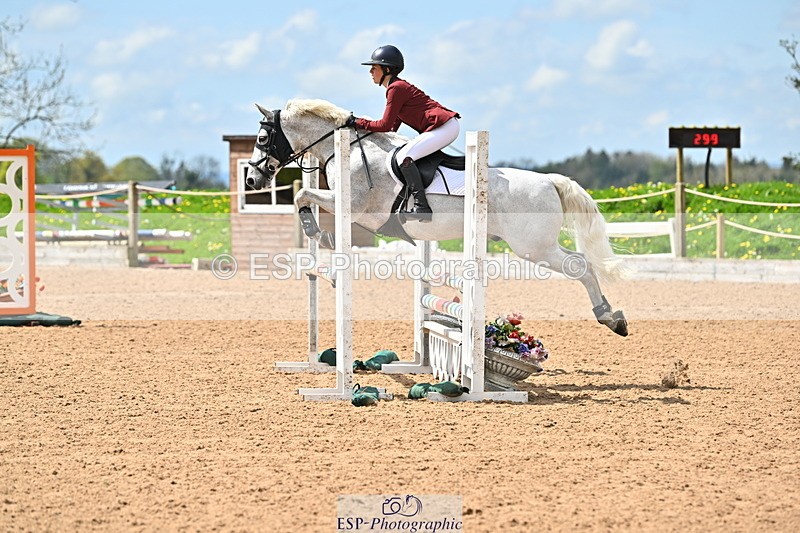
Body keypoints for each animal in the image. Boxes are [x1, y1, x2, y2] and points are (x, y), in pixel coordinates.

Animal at [247, 99, 628, 336]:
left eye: (263, 137)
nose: (252, 180)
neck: (351, 150)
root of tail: (549, 180)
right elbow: (304, 197)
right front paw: (319, 233)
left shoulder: (355, 208)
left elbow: (303, 196)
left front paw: (317, 231)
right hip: (536, 246)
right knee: (581, 264)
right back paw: (612, 315)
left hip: (533, 247)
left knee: (580, 266)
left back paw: (611, 317)